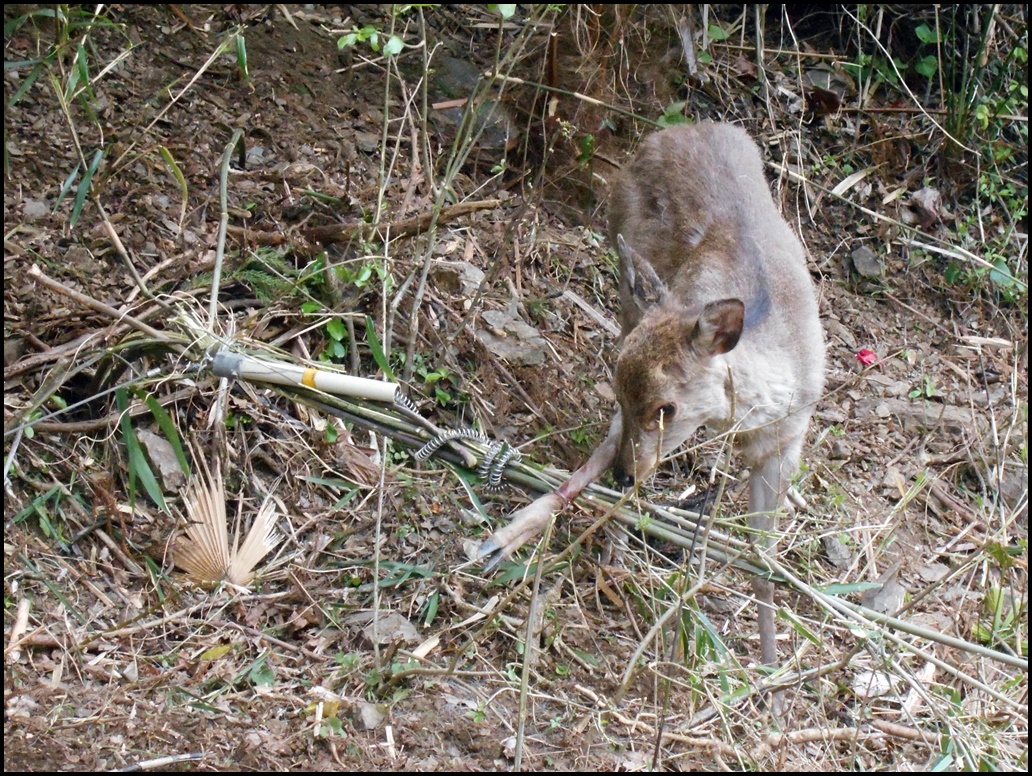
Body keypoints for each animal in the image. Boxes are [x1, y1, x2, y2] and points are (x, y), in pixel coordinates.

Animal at [478, 121, 825, 668]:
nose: (623, 474)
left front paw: (770, 671)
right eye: (623, 393)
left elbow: (764, 562)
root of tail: (677, 130)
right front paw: (505, 540)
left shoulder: (787, 440)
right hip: (628, 277)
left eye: (667, 407)